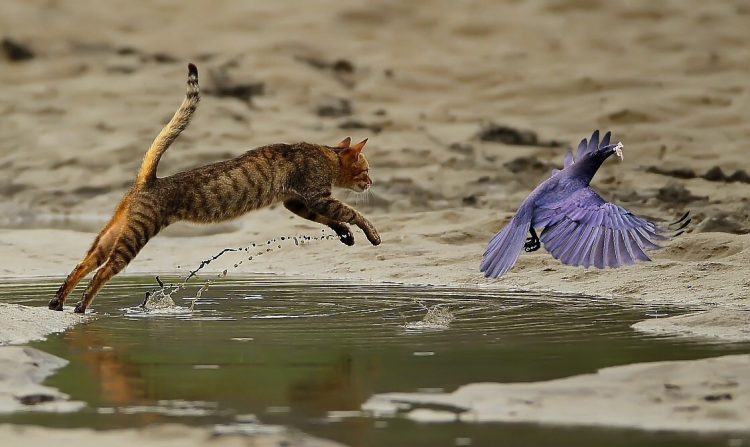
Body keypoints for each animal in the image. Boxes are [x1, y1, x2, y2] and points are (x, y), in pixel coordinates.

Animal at [50, 63, 382, 316]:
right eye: (366, 169)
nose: (371, 182)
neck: (327, 155)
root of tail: (148, 181)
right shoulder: (314, 195)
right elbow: (352, 211)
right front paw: (371, 233)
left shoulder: (296, 202)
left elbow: (331, 218)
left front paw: (345, 233)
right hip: (135, 235)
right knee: (102, 271)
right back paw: (81, 307)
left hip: (111, 233)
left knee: (83, 264)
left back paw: (58, 303)